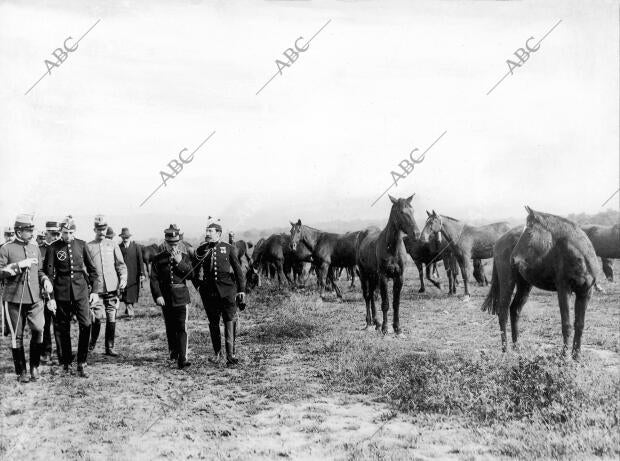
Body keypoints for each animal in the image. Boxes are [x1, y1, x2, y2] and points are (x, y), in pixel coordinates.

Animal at [354, 193, 422, 334]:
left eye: (412, 210)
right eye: (401, 212)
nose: (417, 233)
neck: (392, 248)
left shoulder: (399, 277)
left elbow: (396, 303)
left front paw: (397, 328)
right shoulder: (383, 277)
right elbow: (385, 303)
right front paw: (385, 328)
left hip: (373, 277)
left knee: (372, 295)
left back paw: (376, 322)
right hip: (364, 275)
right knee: (367, 296)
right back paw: (369, 323)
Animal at [482, 208, 600, 360]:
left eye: (529, 232)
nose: (513, 259)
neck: (581, 258)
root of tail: (499, 241)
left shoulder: (585, 293)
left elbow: (579, 324)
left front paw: (576, 357)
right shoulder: (564, 290)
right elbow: (566, 324)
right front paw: (564, 356)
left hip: (524, 286)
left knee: (514, 310)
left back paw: (516, 348)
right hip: (507, 282)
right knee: (503, 313)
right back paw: (505, 351)